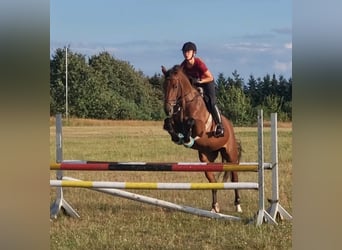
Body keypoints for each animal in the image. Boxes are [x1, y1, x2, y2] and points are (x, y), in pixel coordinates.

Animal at [162, 64, 242, 213]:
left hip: (231, 155)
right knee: (213, 182)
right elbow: (168, 122)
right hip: (207, 158)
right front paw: (177, 137)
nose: (168, 109)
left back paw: (238, 205)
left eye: (175, 86)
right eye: (164, 85)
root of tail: (230, 127)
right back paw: (214, 207)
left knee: (235, 177)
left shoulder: (200, 127)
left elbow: (191, 123)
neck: (185, 104)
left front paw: (187, 139)